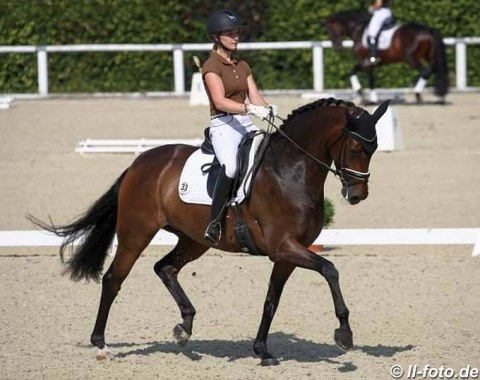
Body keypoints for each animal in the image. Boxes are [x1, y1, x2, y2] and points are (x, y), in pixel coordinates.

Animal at [29, 97, 390, 366]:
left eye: (374, 149)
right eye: (356, 148)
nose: (357, 195)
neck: (291, 169)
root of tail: (139, 163)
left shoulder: (288, 254)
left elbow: (271, 300)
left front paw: (263, 351)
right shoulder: (284, 246)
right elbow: (330, 269)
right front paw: (344, 334)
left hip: (194, 240)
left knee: (165, 268)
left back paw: (184, 327)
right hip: (136, 233)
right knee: (113, 279)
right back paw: (101, 344)